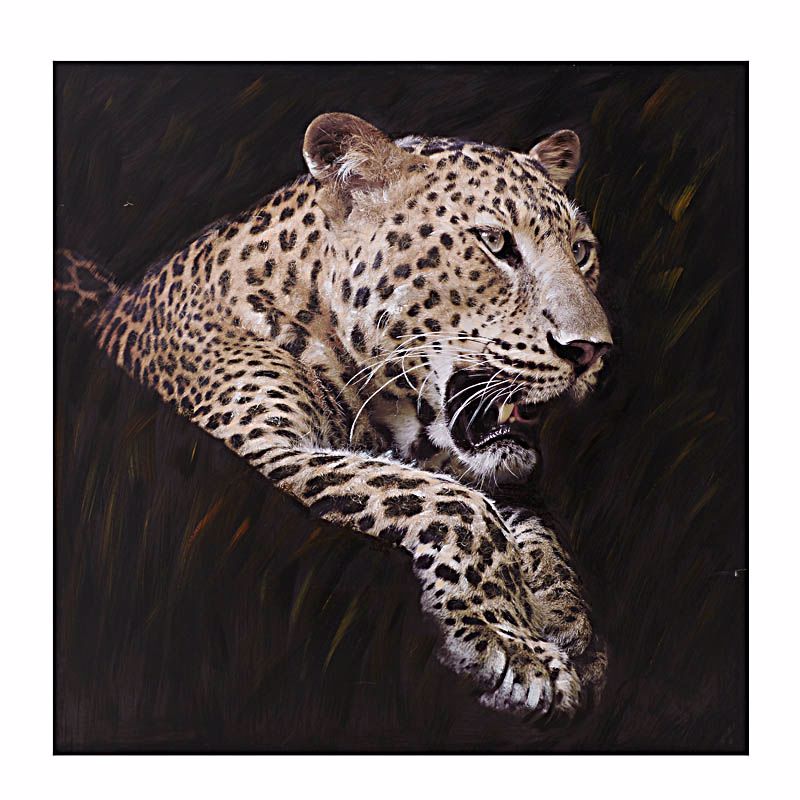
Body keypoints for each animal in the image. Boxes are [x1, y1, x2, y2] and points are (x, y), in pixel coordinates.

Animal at [56, 112, 613, 720]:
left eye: (582, 250)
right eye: (494, 243)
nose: (591, 350)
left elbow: (529, 523)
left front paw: (566, 621)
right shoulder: (263, 445)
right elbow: (452, 502)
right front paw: (513, 646)